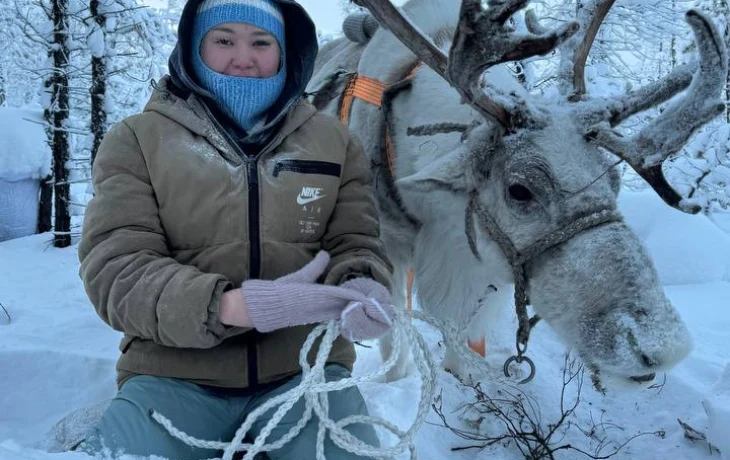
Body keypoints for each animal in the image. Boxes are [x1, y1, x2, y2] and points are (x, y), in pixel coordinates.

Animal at [307, 0, 728, 388]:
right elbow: (391, 340)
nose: (662, 347)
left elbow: (462, 344)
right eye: (520, 190)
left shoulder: (476, 270)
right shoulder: (388, 248)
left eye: (614, 181)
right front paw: (393, 380)